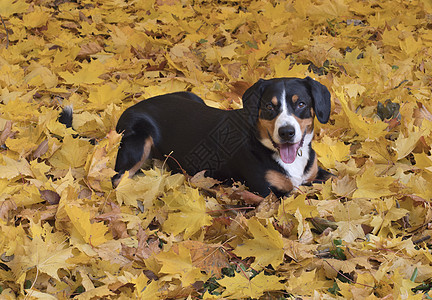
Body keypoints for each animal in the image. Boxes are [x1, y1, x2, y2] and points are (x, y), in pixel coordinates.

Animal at [110, 77, 330, 197]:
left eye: (301, 104)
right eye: (269, 106)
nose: (286, 132)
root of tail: (129, 108)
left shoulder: (313, 175)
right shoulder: (266, 192)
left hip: (193, 97)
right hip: (139, 142)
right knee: (118, 178)